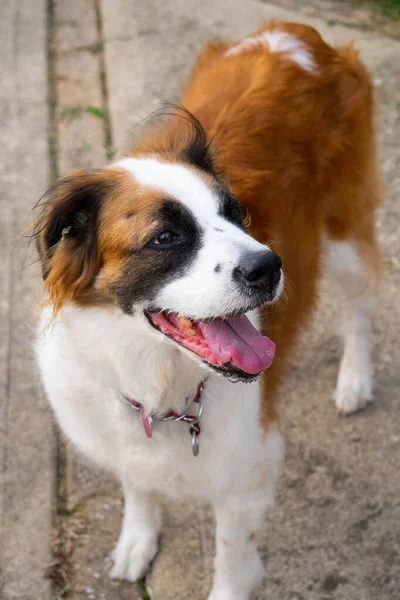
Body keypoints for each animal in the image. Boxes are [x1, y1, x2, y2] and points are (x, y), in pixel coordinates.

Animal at [34, 19, 382, 600]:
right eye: (166, 237)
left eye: (236, 213)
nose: (270, 267)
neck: (159, 383)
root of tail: (292, 29)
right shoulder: (122, 436)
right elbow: (138, 484)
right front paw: (138, 538)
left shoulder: (245, 473)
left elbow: (230, 559)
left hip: (344, 234)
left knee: (359, 304)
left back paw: (354, 380)